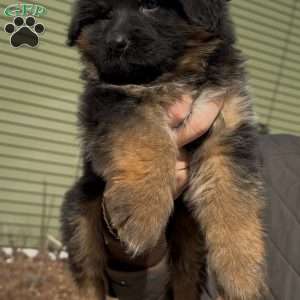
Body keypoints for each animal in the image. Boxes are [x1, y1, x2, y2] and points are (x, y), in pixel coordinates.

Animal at [60, 1, 264, 298]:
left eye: (151, 7)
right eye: (105, 15)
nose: (115, 42)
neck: (170, 77)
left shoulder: (226, 126)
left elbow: (234, 197)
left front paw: (242, 272)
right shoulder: (115, 101)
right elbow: (148, 137)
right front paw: (142, 210)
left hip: (188, 240)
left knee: (185, 277)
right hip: (81, 217)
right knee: (89, 275)